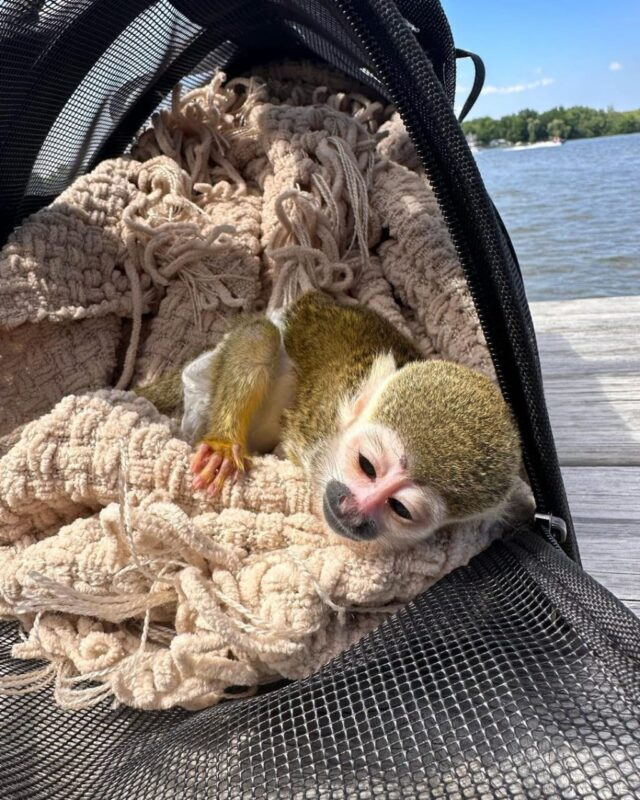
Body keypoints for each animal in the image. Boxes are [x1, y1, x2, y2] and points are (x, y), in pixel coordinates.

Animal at [135, 291, 521, 548]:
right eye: (367, 466)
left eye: (400, 508)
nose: (353, 509)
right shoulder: (317, 418)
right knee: (261, 338)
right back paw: (223, 441)